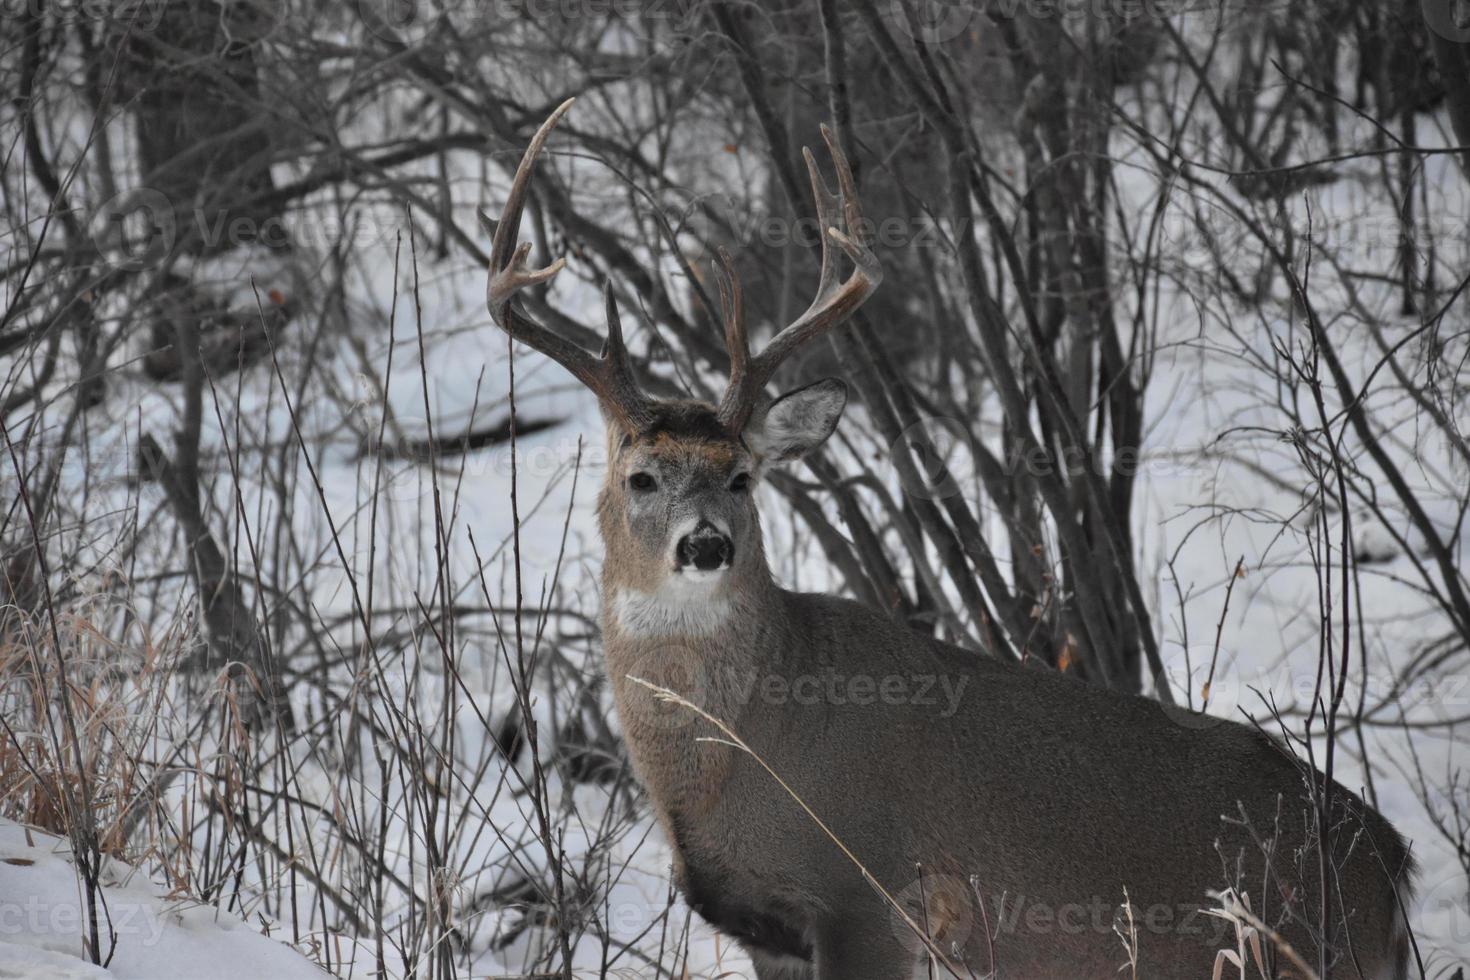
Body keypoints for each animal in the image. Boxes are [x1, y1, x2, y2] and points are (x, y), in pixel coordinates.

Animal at [479, 99, 1411, 980]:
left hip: (1291, 950)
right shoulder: (766, 933)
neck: (734, 757)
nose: (706, 546)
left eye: (741, 477)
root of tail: (1390, 863)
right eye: (642, 478)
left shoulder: (871, 895)